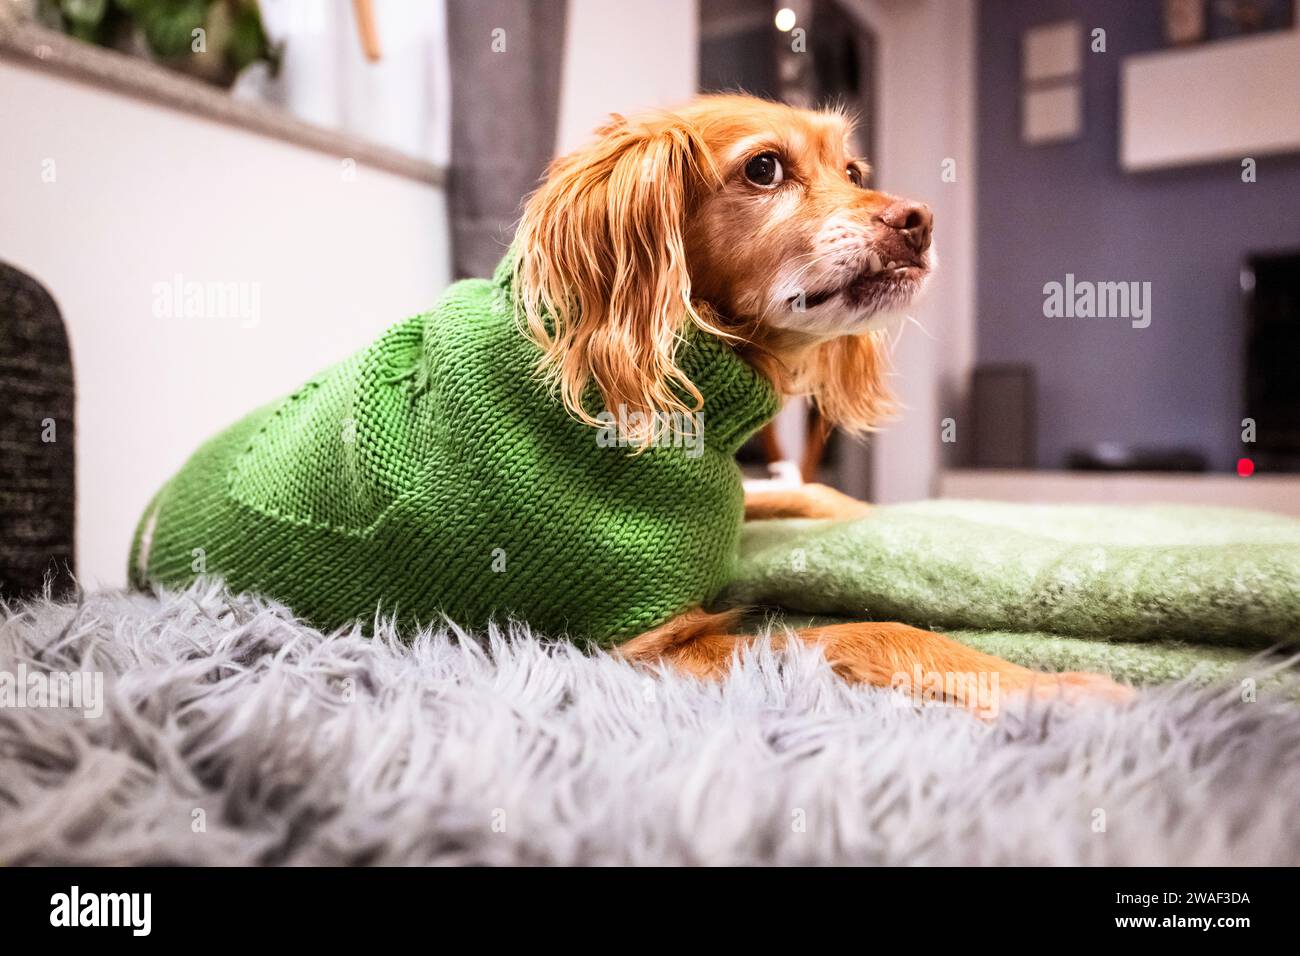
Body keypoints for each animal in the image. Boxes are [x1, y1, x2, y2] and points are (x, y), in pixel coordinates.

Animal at [134, 97, 1128, 712]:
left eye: (852, 167)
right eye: (764, 169)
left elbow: (811, 495)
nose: (918, 220)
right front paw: (1055, 688)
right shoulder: (652, 647)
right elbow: (872, 630)